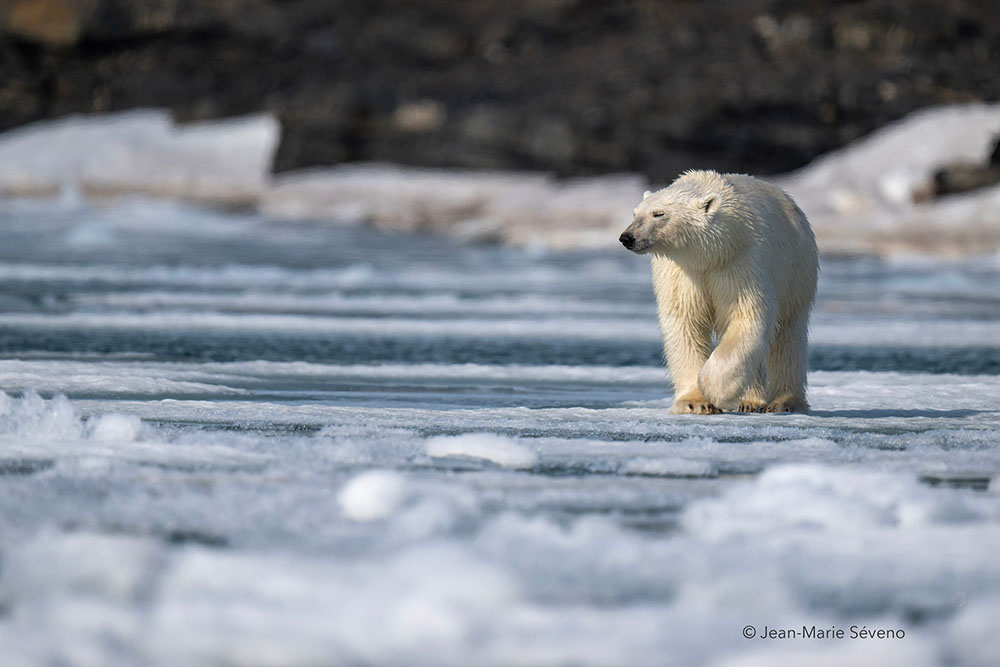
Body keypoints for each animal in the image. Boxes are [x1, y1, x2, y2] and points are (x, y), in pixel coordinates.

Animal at [616, 170, 820, 414]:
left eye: (658, 214)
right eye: (635, 213)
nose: (627, 237)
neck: (710, 254)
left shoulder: (740, 260)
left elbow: (746, 315)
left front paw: (715, 391)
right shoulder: (682, 273)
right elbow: (685, 322)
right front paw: (694, 402)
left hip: (796, 270)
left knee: (788, 337)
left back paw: (783, 402)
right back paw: (749, 401)